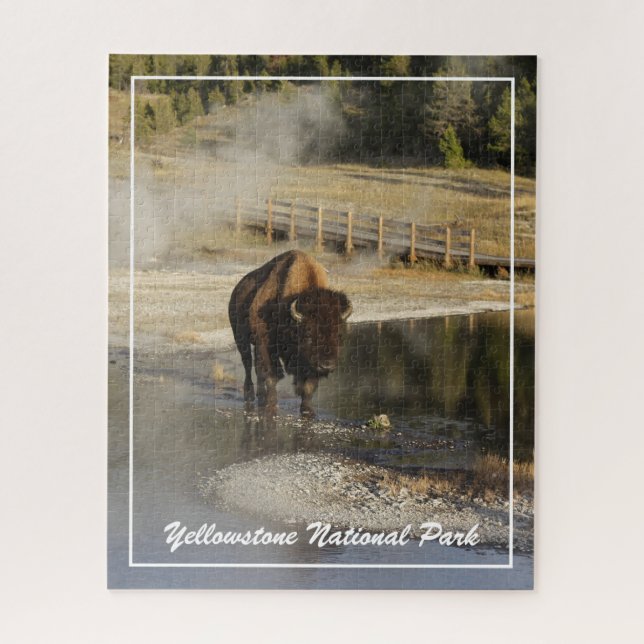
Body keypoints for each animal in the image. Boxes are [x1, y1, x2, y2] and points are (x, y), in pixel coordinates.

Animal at [228, 250, 353, 417]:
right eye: (308, 335)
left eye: (339, 335)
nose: (327, 365)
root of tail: (237, 289)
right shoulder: (266, 344)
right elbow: (272, 375)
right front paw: (271, 406)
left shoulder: (308, 363)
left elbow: (309, 385)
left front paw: (307, 410)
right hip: (241, 339)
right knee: (248, 365)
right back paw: (250, 396)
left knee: (256, 369)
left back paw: (261, 397)